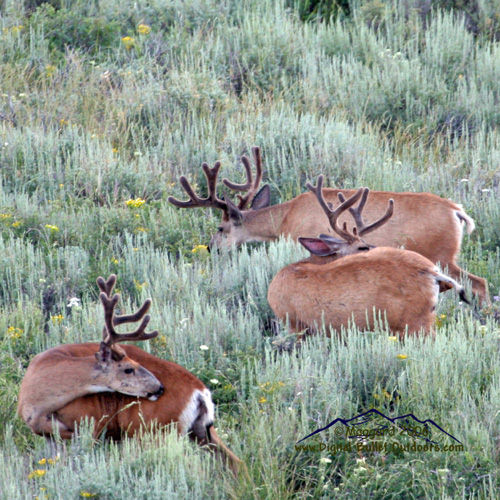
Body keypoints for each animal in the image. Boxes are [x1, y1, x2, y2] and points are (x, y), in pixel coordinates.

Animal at [20, 276, 243, 474]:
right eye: (129, 368)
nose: (159, 387)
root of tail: (200, 392)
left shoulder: (89, 425)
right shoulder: (51, 436)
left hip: (154, 431)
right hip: (201, 432)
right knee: (235, 462)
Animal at [168, 147, 488, 304]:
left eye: (220, 229)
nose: (211, 248)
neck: (285, 218)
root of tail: (457, 211)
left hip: (442, 255)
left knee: (479, 283)